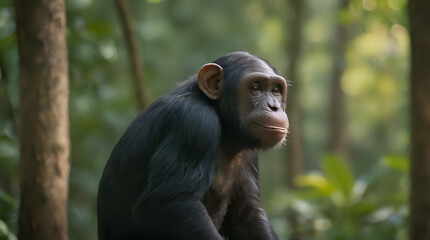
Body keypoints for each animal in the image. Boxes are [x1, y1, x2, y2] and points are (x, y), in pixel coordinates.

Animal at [97, 52, 288, 240]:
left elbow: (247, 216)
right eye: (255, 88)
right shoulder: (194, 121)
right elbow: (171, 202)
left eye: (275, 91)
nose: (274, 106)